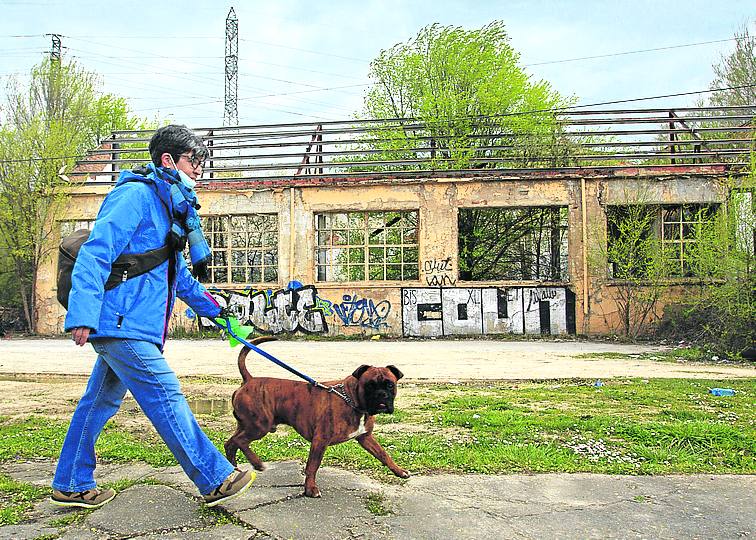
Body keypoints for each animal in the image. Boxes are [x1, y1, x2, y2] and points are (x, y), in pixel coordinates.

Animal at [224, 338, 410, 498]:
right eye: (370, 385)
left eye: (390, 385)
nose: (381, 395)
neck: (351, 399)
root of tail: (249, 380)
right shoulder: (320, 440)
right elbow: (312, 466)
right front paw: (311, 489)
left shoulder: (365, 437)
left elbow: (383, 454)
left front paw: (399, 471)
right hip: (259, 426)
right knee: (240, 441)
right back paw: (257, 463)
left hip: (247, 425)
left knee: (231, 443)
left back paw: (234, 469)